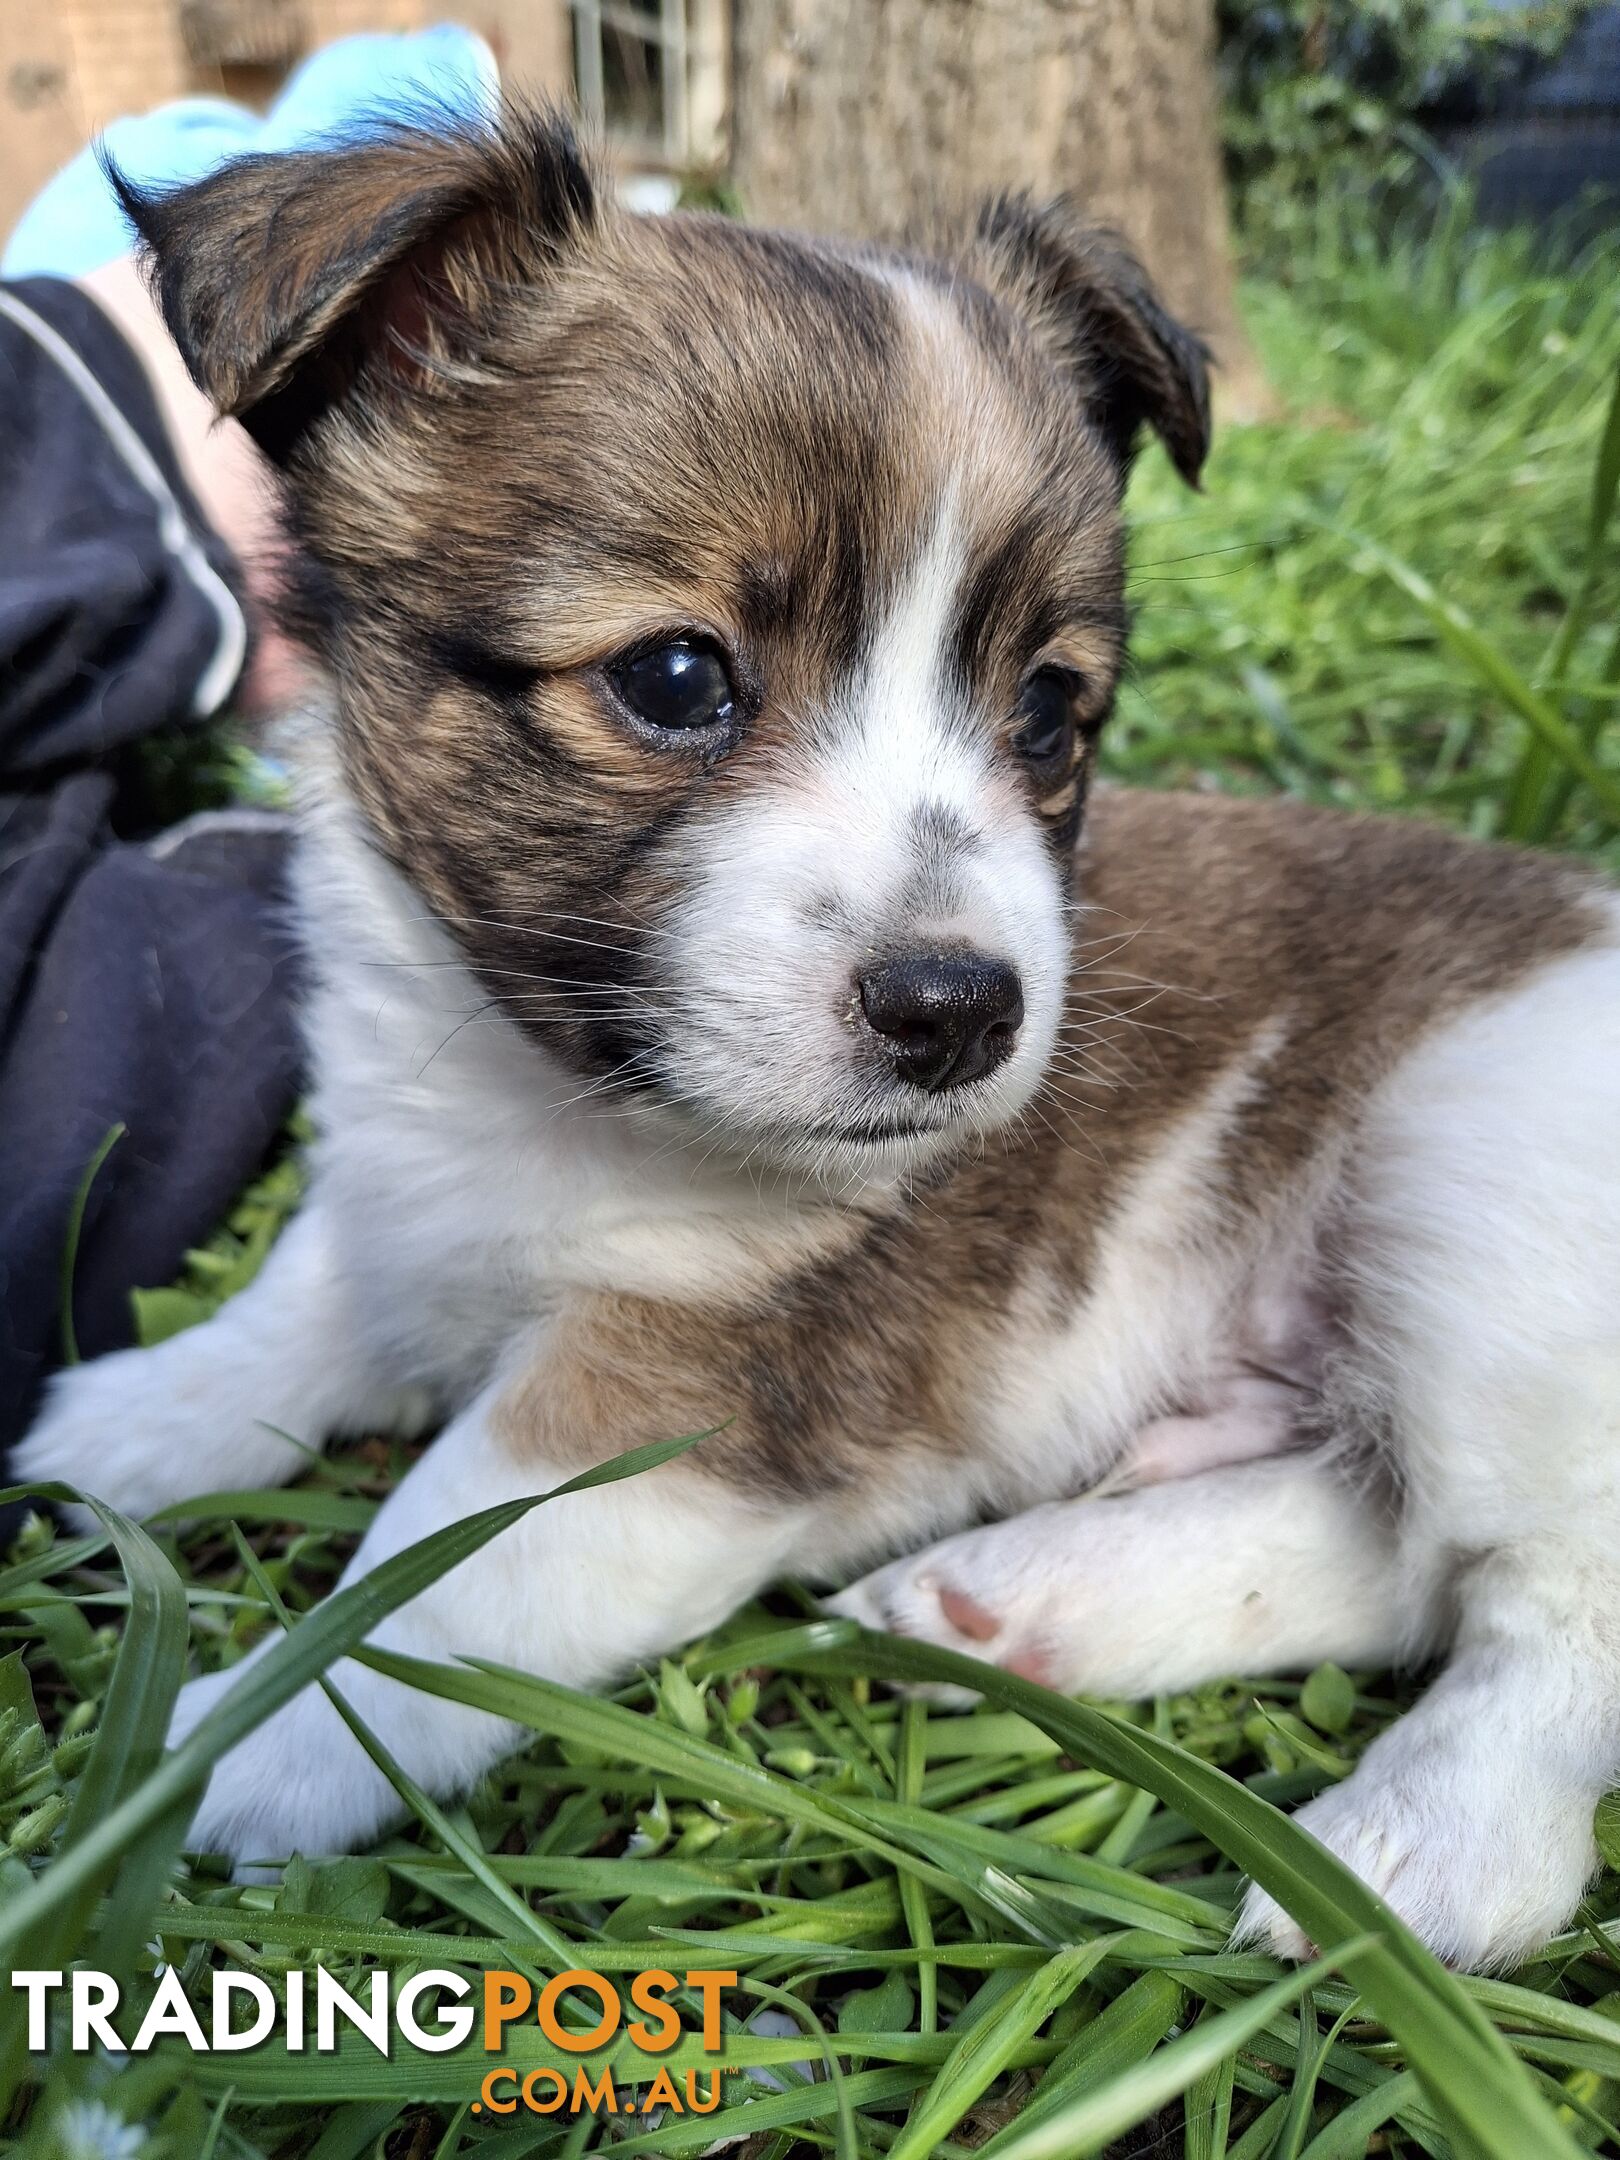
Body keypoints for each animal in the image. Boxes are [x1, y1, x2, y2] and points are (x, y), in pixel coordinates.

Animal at [15, 113, 1620, 1978]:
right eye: (674, 676)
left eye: (1049, 712)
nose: (961, 1010)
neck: (536, 1086)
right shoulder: (396, 1178)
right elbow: (317, 1293)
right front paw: (137, 1417)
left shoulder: (672, 1398)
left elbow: (433, 1567)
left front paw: (225, 1748)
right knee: (1387, 1540)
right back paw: (1014, 1603)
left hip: (1479, 1195)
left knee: (1546, 1595)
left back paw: (1417, 1852)